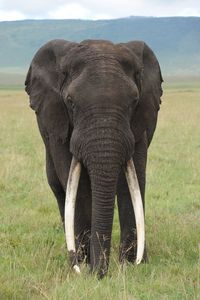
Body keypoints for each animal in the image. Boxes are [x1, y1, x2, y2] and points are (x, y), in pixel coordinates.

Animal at [24, 38, 162, 278]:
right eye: (70, 101)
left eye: (134, 100)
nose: (99, 274)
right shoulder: (58, 119)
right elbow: (75, 183)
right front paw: (83, 264)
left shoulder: (139, 124)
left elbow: (133, 178)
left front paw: (132, 264)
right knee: (59, 187)